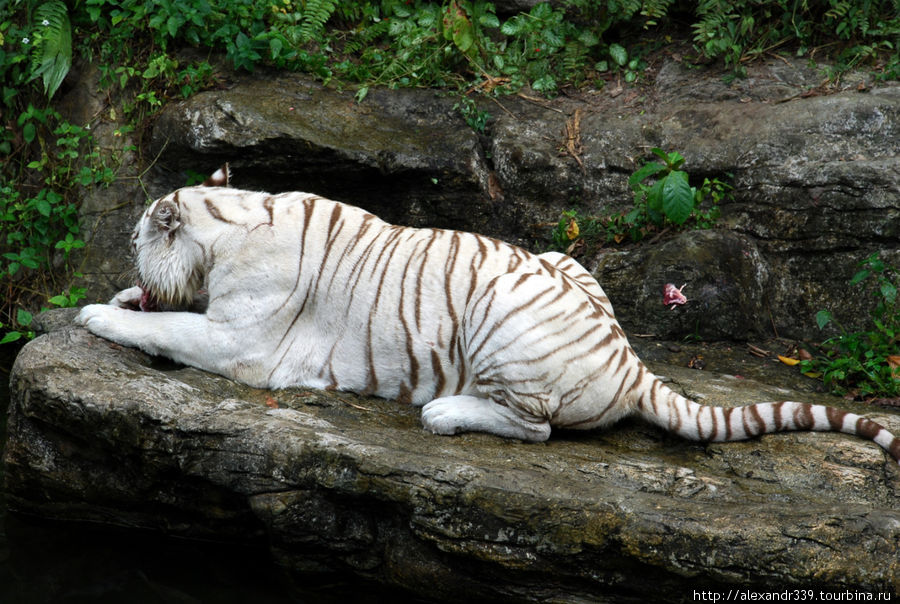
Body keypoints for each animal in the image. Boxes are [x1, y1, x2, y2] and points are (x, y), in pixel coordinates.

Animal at [79, 165, 900, 462]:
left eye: (136, 240)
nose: (131, 264)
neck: (233, 218)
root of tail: (632, 362)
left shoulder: (240, 344)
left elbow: (166, 327)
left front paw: (97, 313)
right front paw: (118, 298)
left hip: (502, 320)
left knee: (535, 427)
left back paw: (445, 413)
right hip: (564, 259)